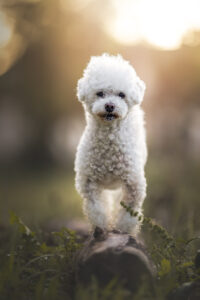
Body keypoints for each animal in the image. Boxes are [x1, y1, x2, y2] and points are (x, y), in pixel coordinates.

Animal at [74, 54, 147, 237]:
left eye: (121, 94)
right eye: (100, 93)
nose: (109, 105)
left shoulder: (133, 184)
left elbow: (128, 214)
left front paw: (123, 232)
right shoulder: (90, 183)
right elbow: (97, 210)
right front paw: (100, 229)